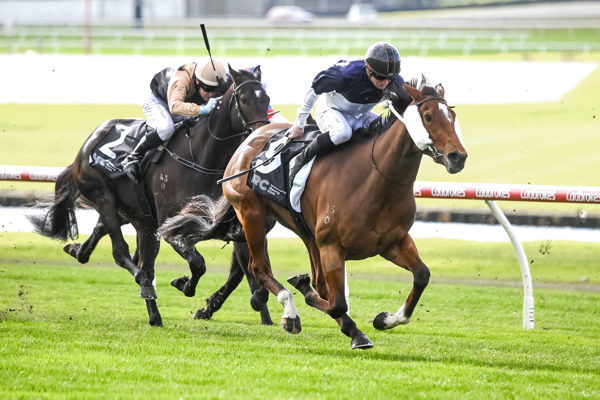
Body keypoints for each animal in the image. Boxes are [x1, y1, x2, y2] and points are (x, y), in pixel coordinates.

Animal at [27, 65, 272, 326]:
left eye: (267, 99)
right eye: (245, 100)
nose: (262, 135)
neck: (201, 158)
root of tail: (86, 146)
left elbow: (246, 268)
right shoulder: (168, 225)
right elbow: (198, 263)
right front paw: (184, 284)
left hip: (137, 217)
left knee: (121, 247)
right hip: (105, 199)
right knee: (125, 254)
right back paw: (144, 284)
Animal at [161, 78, 468, 346]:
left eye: (452, 115)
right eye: (428, 116)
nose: (458, 157)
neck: (376, 178)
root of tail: (248, 142)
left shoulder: (392, 242)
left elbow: (421, 275)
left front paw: (384, 319)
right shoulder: (332, 246)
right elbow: (336, 302)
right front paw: (307, 299)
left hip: (302, 230)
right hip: (252, 215)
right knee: (259, 268)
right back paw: (290, 311)